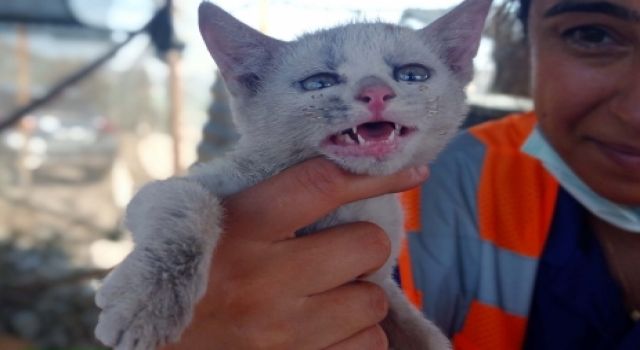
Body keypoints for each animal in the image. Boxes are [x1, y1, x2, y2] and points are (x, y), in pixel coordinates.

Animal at [94, 1, 490, 348]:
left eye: (412, 74)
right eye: (318, 83)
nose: (376, 91)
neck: (346, 208)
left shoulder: (380, 284)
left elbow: (419, 330)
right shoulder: (174, 187)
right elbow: (188, 199)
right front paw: (148, 304)